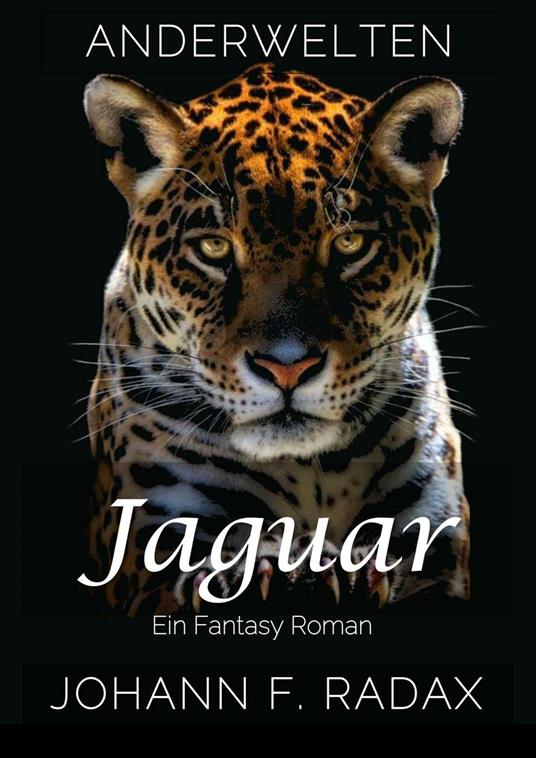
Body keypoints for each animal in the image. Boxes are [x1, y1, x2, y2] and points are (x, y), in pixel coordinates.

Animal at [82, 63, 470, 615]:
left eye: (351, 243)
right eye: (214, 248)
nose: (287, 367)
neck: (314, 469)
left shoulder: (435, 548)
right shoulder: (153, 553)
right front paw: (280, 572)